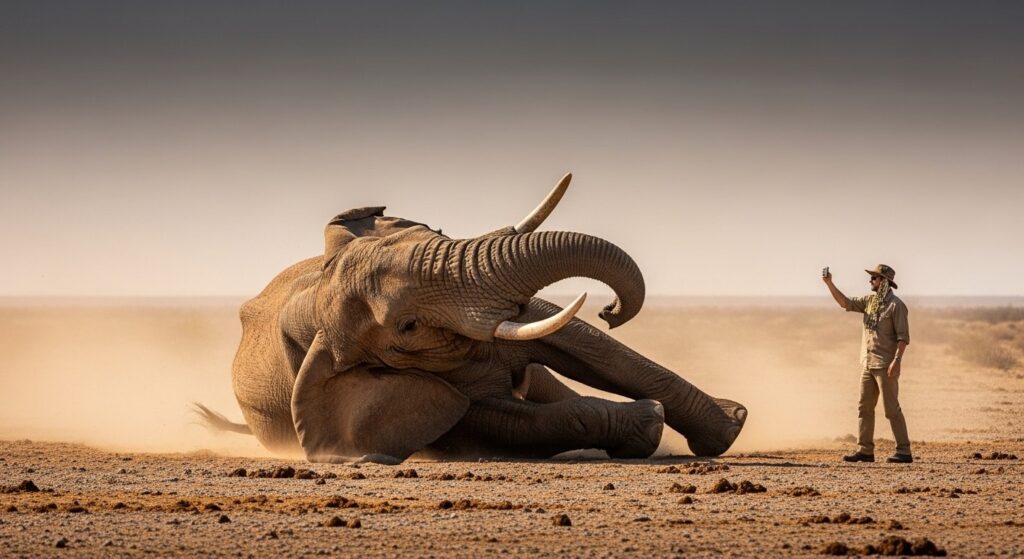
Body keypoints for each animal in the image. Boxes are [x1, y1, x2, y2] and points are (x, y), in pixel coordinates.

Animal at [197, 174, 747, 463]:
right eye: (408, 328)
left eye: (434, 232)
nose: (611, 307)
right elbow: (490, 420)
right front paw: (648, 422)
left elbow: (578, 340)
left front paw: (728, 427)